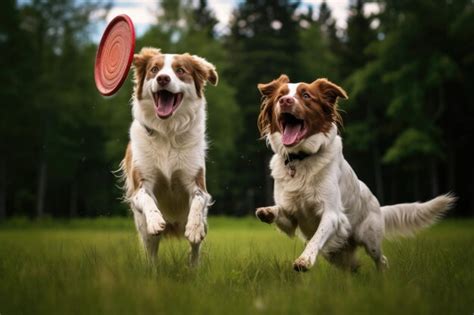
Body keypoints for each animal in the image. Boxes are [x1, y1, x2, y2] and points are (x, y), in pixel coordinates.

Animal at [122, 48, 218, 266]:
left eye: (180, 70)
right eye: (154, 69)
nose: (163, 78)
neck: (167, 131)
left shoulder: (197, 182)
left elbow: (198, 200)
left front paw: (193, 228)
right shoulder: (141, 183)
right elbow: (146, 198)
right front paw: (156, 219)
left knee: (195, 249)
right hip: (143, 229)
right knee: (151, 251)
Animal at [256, 75, 456, 272]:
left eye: (306, 95)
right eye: (279, 96)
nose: (285, 101)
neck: (301, 158)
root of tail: (379, 207)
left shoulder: (332, 214)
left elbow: (316, 238)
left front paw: (304, 261)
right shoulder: (291, 216)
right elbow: (281, 212)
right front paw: (267, 211)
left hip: (370, 239)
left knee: (381, 260)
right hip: (337, 255)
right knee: (353, 267)